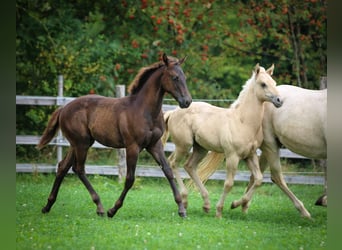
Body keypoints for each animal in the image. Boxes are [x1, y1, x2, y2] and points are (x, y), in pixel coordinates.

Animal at [38, 53, 192, 218]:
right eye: (175, 77)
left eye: (185, 77)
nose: (187, 101)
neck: (144, 110)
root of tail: (63, 108)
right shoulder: (133, 147)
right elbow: (130, 179)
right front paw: (113, 210)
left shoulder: (154, 145)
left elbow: (168, 171)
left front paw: (181, 209)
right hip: (82, 144)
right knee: (79, 169)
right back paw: (99, 207)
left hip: (77, 143)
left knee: (63, 167)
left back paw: (48, 206)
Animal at [163, 64, 284, 217]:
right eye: (263, 84)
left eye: (274, 82)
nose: (279, 100)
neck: (243, 121)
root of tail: (173, 112)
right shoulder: (232, 156)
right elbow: (229, 184)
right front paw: (219, 211)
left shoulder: (250, 155)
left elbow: (258, 179)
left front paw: (236, 204)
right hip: (183, 145)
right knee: (173, 163)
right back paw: (185, 200)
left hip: (200, 148)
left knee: (189, 166)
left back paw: (206, 204)